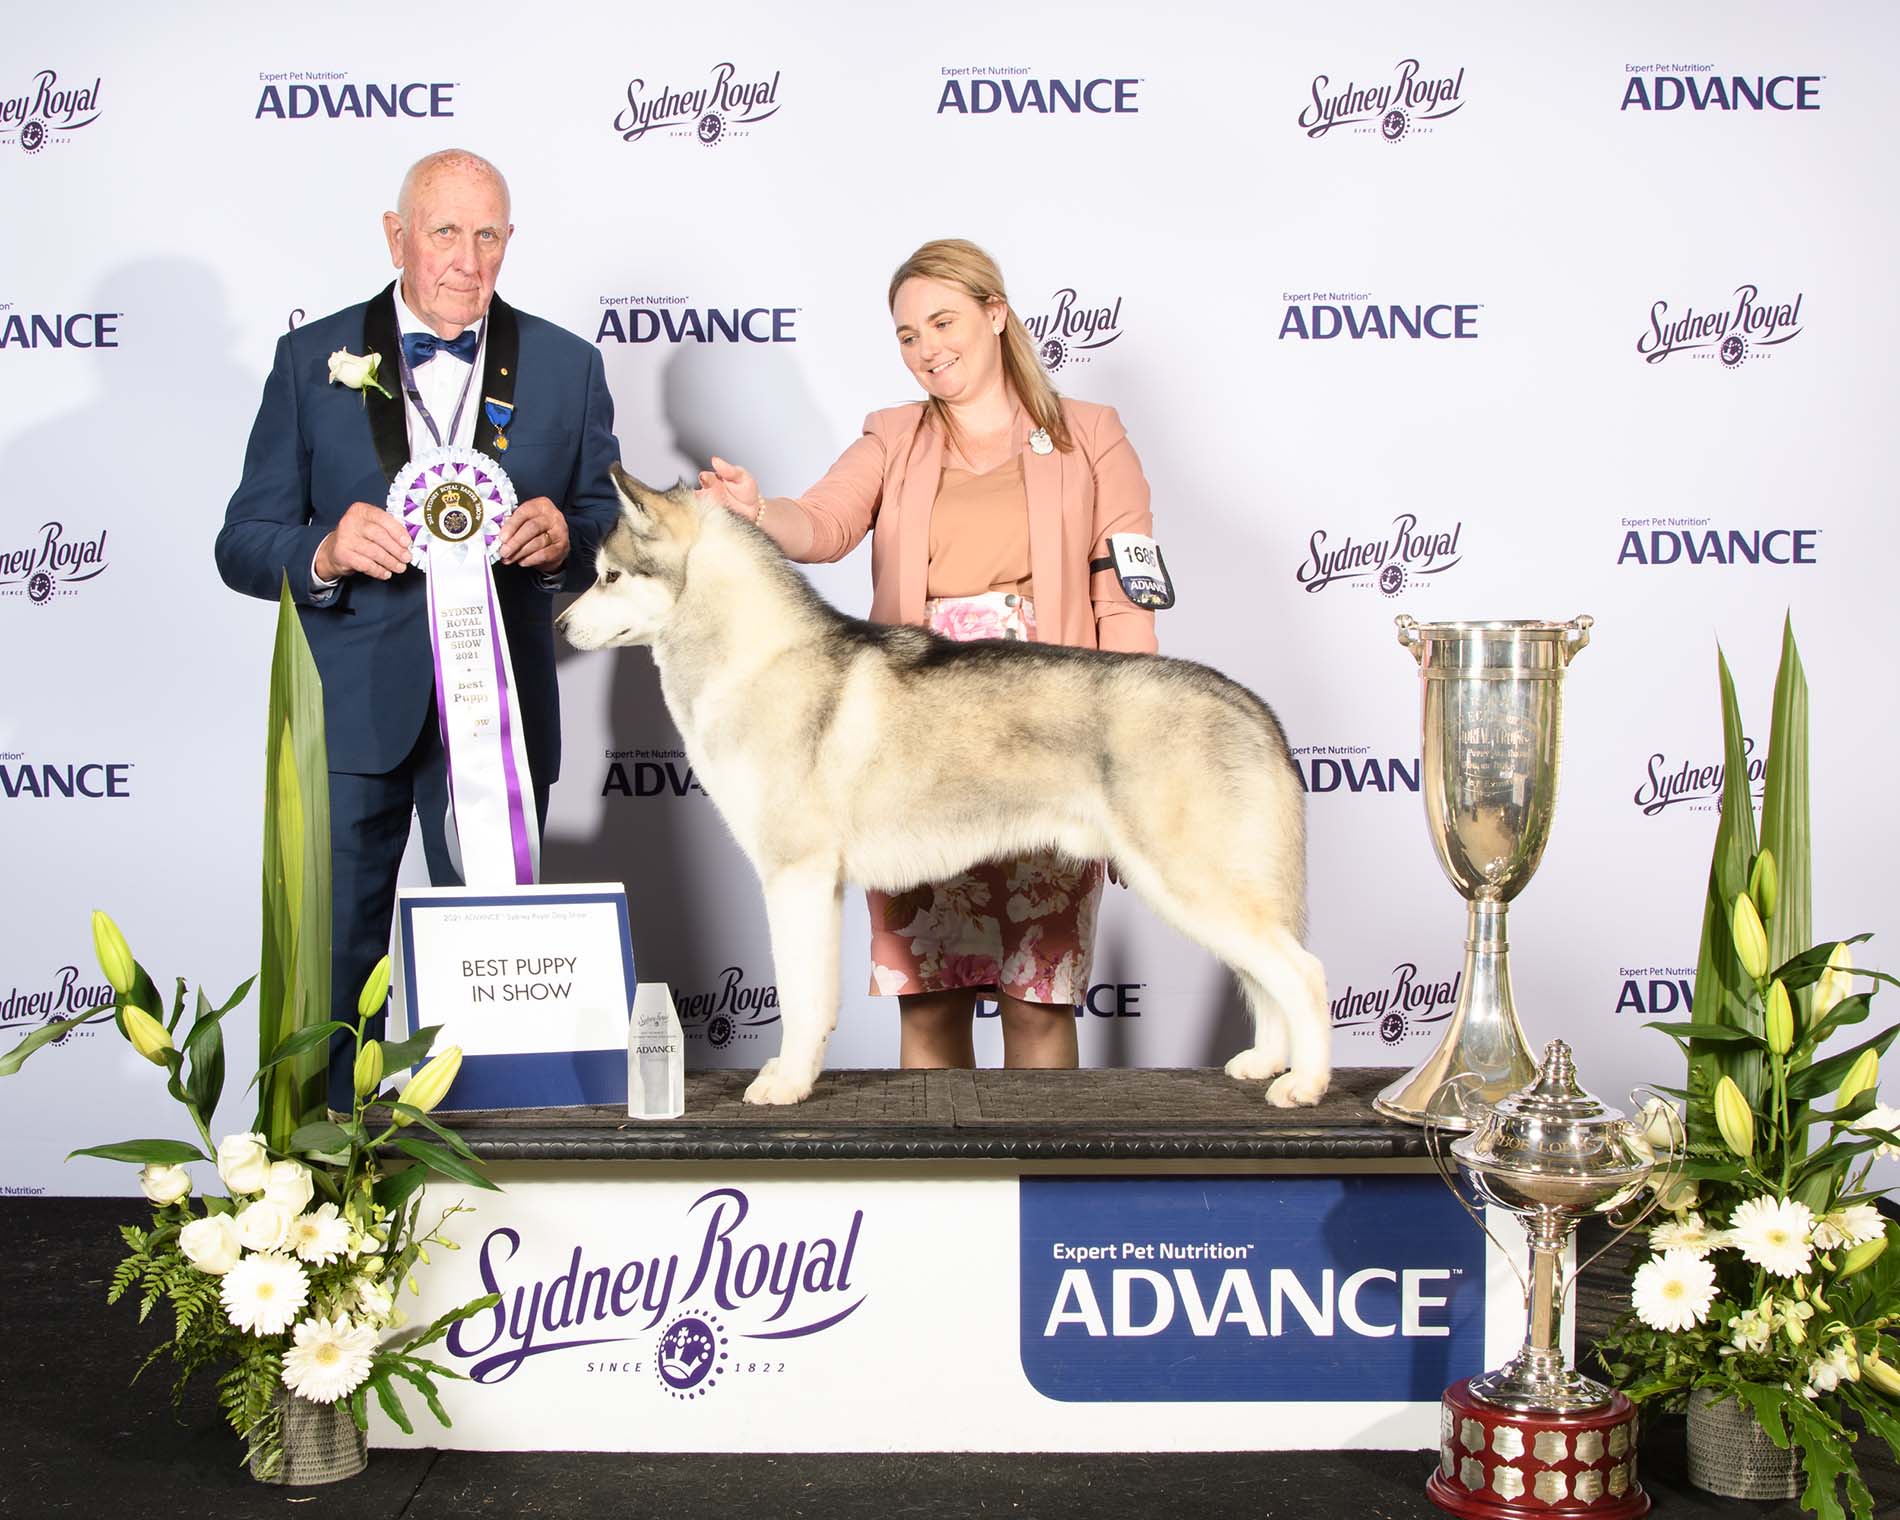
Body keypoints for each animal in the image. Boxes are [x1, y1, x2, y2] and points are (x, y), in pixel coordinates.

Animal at [558, 469, 1337, 1109]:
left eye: (609, 576)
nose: (560, 624)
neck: (755, 659)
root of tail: (1251, 704)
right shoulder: (817, 885)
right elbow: (816, 995)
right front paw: (795, 1073)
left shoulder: (794, 875)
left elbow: (801, 996)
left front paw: (786, 1083)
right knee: (1265, 976)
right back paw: (1266, 1062)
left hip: (1189, 881)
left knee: (1303, 973)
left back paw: (1305, 1082)